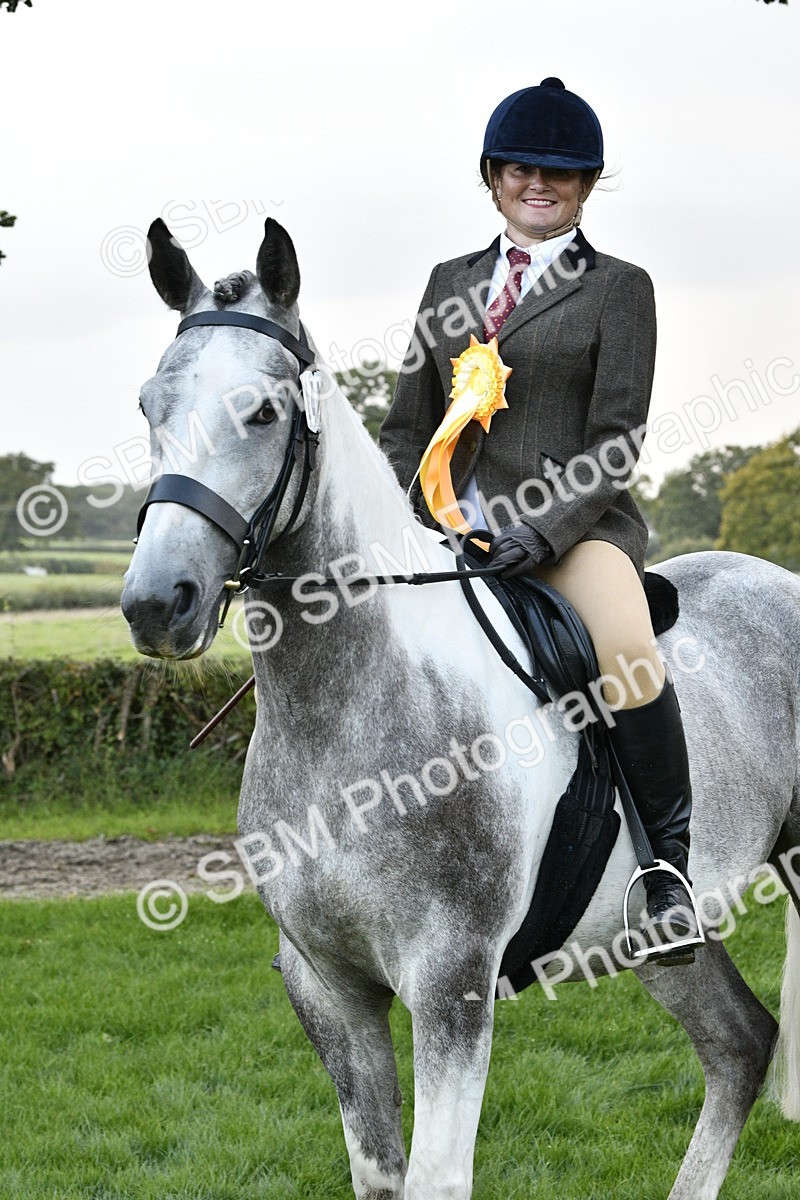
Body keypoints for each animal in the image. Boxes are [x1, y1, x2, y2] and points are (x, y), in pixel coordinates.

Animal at [121, 216, 800, 1200]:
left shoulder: (451, 984)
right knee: (742, 1045)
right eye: (149, 407)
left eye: (264, 412)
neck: (350, 713)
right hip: (660, 931)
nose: (154, 604)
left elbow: (435, 1177)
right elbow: (377, 1169)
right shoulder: (328, 986)